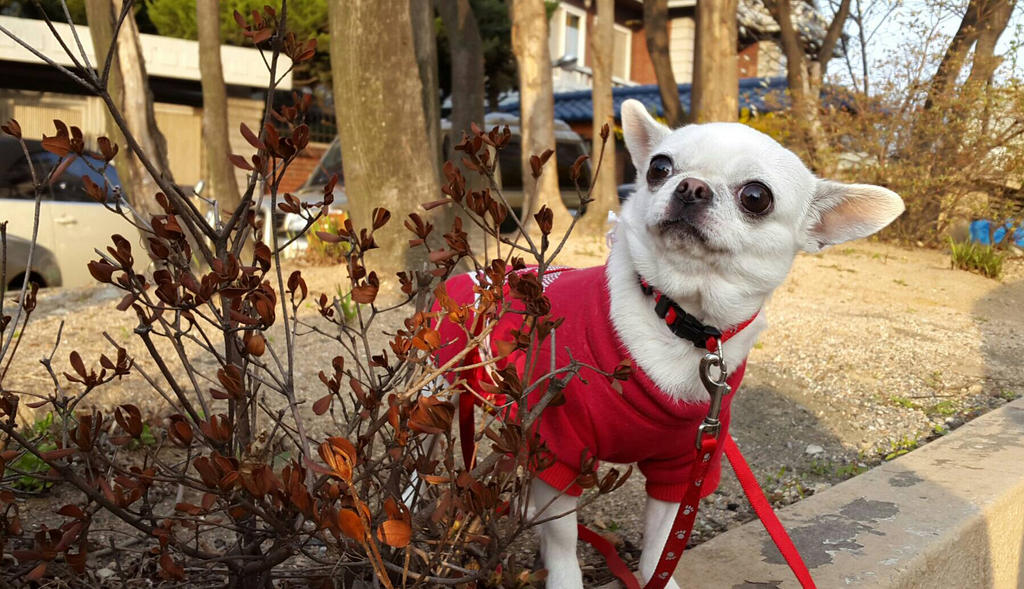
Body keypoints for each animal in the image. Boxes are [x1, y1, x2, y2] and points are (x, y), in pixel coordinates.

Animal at [432, 99, 905, 585]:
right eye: (659, 168)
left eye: (756, 197)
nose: (691, 186)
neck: (682, 321)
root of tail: (471, 276)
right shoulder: (559, 447)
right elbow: (563, 537)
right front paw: (564, 578)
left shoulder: (684, 462)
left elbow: (663, 539)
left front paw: (658, 575)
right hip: (440, 393)